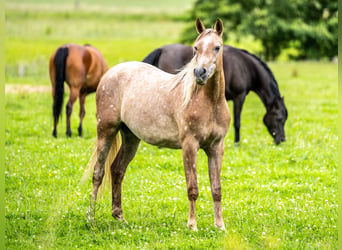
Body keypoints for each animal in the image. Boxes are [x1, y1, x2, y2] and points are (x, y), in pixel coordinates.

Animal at [86, 18, 230, 231]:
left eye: (217, 47)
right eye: (196, 48)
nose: (199, 73)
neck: (209, 103)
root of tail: (110, 73)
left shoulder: (216, 148)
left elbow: (216, 188)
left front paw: (220, 226)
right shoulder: (190, 146)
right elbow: (193, 188)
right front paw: (192, 225)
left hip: (130, 138)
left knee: (117, 170)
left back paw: (119, 216)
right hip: (106, 131)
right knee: (98, 172)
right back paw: (91, 217)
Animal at [142, 43, 288, 145]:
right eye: (280, 118)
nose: (282, 139)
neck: (247, 67)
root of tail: (161, 49)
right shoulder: (239, 97)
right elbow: (237, 122)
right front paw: (237, 143)